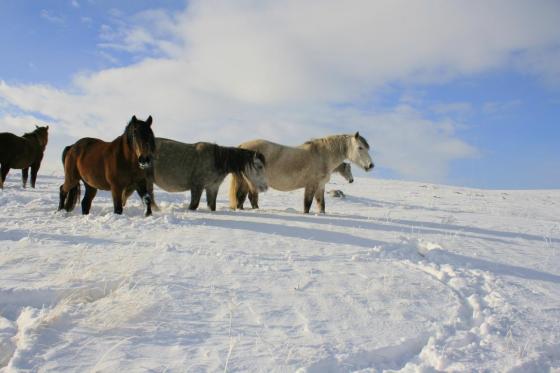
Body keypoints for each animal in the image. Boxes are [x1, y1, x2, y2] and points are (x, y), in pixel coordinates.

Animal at [230, 132, 374, 212]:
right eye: (360, 147)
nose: (371, 165)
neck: (322, 155)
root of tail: (242, 146)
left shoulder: (320, 186)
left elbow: (321, 205)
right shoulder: (311, 185)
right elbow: (307, 205)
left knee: (242, 198)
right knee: (247, 197)